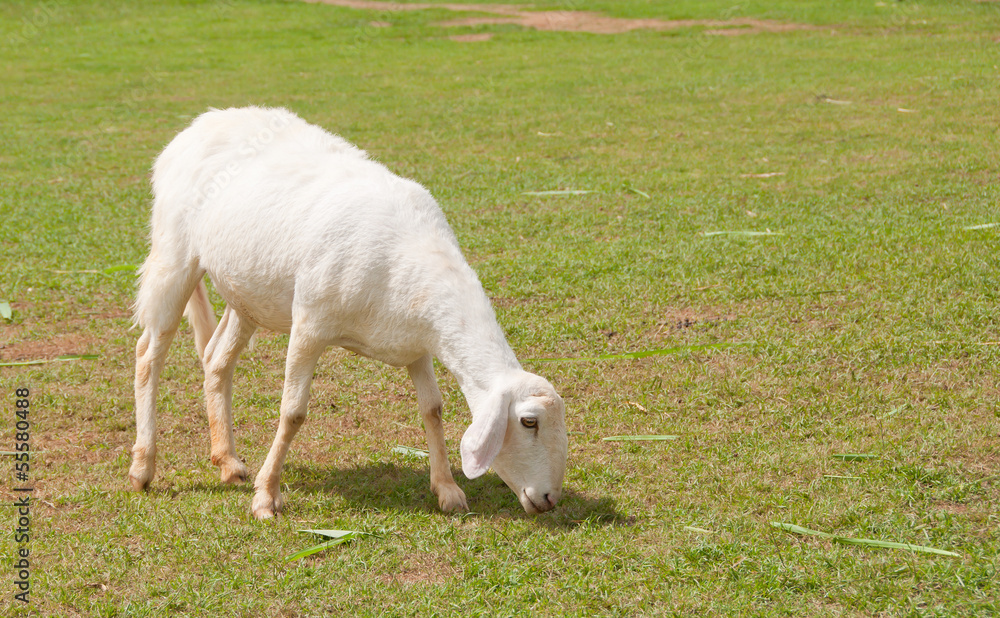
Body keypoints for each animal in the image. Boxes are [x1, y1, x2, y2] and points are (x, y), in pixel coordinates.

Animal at [130, 106, 568, 519]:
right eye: (529, 421)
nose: (549, 499)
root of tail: (202, 122)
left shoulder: (416, 345)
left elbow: (433, 409)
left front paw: (447, 489)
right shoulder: (309, 323)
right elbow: (292, 413)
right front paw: (266, 497)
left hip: (247, 292)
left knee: (216, 358)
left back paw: (228, 461)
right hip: (174, 256)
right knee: (148, 355)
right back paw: (143, 468)